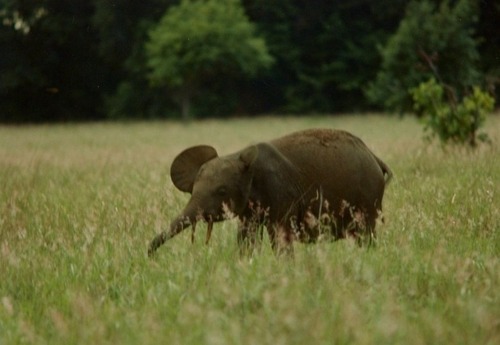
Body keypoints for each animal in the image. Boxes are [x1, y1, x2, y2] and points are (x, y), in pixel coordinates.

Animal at [146, 129, 392, 255]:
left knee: (366, 234)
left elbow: (280, 237)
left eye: (222, 191)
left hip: (369, 197)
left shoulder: (282, 194)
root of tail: (375, 157)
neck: (241, 159)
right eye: (193, 190)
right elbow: (246, 238)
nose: (149, 252)